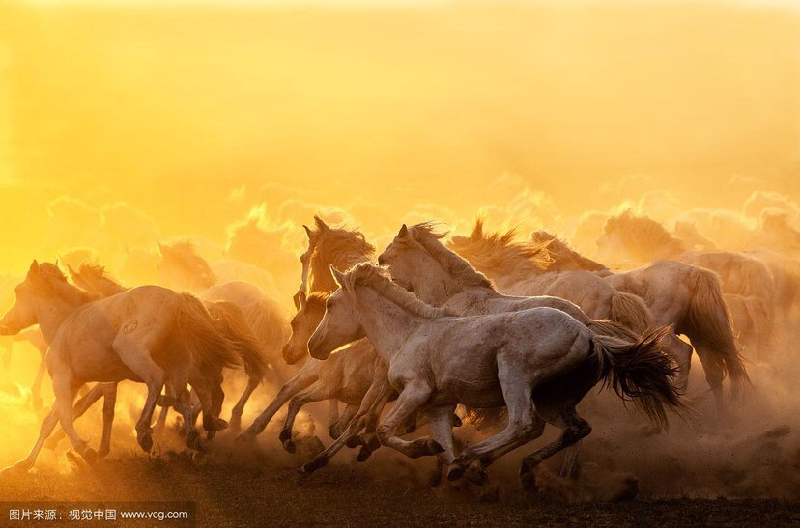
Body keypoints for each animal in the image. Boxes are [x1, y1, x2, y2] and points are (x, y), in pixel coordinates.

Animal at [0, 260, 239, 470]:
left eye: (18, 291)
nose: (5, 325)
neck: (65, 322)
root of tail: (176, 299)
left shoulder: (63, 379)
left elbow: (68, 416)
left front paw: (87, 452)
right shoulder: (80, 382)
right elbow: (52, 420)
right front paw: (22, 465)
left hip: (134, 352)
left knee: (158, 380)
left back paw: (145, 431)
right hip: (178, 362)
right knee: (189, 394)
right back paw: (197, 433)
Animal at [306, 264, 680, 490]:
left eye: (330, 305)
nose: (313, 345)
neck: (410, 333)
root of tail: (588, 333)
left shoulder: (416, 391)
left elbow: (385, 431)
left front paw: (432, 453)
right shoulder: (438, 405)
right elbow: (442, 444)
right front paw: (452, 467)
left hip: (514, 374)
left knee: (524, 424)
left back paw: (478, 457)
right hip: (553, 397)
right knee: (574, 428)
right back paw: (517, 468)